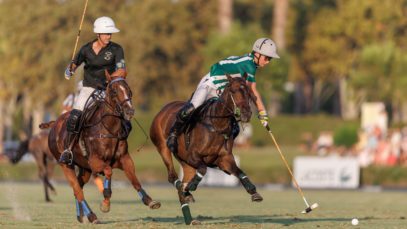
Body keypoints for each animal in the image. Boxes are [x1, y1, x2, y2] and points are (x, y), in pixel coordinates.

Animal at [45, 72, 159, 223]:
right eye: (115, 91)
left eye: (129, 91)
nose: (130, 111)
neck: (109, 128)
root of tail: (54, 123)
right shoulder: (95, 161)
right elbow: (108, 171)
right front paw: (105, 203)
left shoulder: (124, 159)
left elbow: (134, 179)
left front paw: (149, 201)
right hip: (66, 165)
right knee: (77, 190)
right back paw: (92, 216)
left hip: (85, 168)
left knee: (78, 188)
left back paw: (81, 216)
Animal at [151, 74, 262, 225]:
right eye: (233, 91)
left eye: (249, 94)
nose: (246, 114)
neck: (217, 124)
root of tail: (163, 109)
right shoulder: (193, 156)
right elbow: (203, 169)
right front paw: (191, 186)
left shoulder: (224, 159)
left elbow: (239, 171)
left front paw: (254, 192)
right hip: (163, 148)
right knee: (172, 176)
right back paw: (186, 191)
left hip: (186, 163)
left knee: (182, 185)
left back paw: (189, 214)